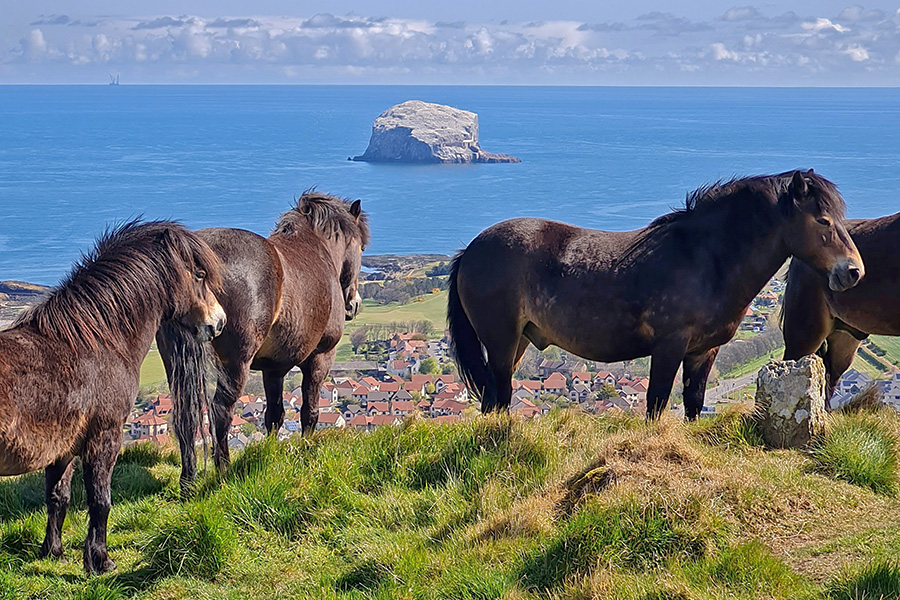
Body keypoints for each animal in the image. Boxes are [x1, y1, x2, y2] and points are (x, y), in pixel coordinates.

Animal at [0, 221, 225, 574]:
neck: (93, 342)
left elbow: (58, 497)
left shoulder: (63, 448)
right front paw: (100, 560)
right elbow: (100, 501)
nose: (219, 322)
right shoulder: (104, 436)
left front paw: (54, 552)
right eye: (200, 274)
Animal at [158, 191, 368, 494]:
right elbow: (309, 410)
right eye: (361, 247)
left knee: (185, 415)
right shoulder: (320, 357)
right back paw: (223, 471)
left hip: (176, 364)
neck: (319, 251)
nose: (353, 305)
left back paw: (188, 480)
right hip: (235, 363)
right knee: (220, 412)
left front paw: (269, 452)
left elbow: (274, 414)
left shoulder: (274, 368)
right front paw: (307, 449)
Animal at [448, 170, 864, 420]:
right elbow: (658, 402)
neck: (706, 259)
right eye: (823, 220)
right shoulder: (669, 346)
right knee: (500, 393)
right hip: (501, 340)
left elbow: (693, 402)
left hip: (517, 341)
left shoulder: (703, 352)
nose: (854, 272)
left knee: (493, 396)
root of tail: (471, 250)